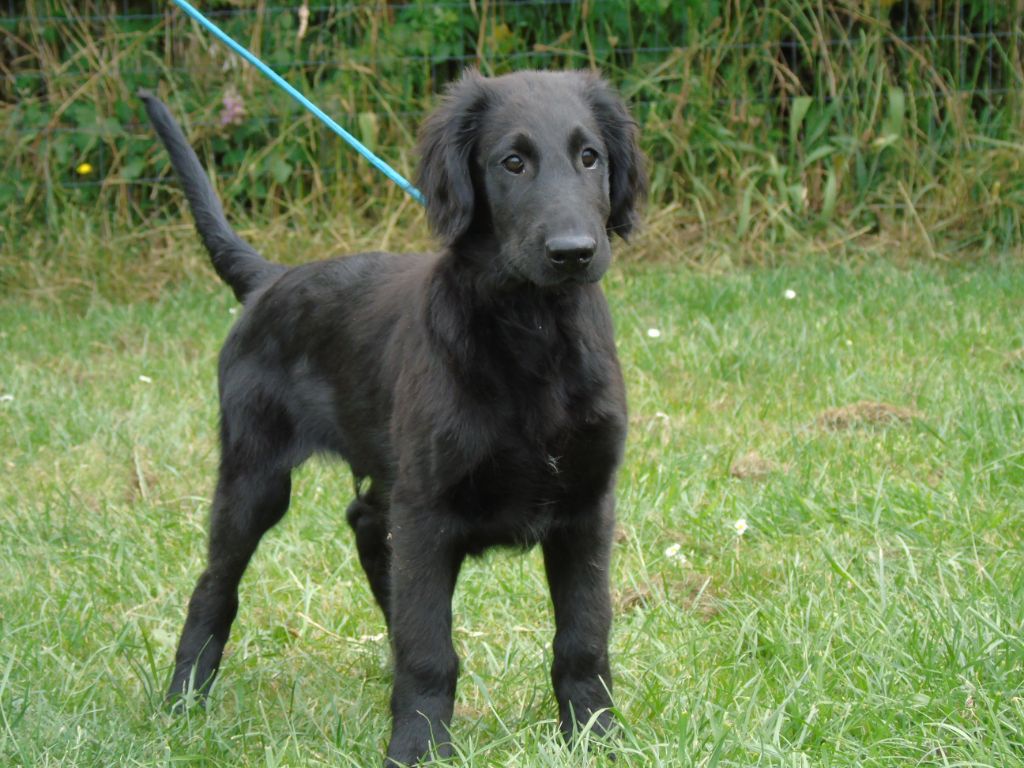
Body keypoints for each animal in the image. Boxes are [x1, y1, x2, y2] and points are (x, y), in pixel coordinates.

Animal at [141, 69, 646, 766]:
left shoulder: (586, 507)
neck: (533, 331)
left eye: (590, 157)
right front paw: (420, 747)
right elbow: (430, 648)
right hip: (255, 476)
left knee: (366, 529)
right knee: (215, 585)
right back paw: (183, 700)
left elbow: (583, 637)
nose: (572, 252)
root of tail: (271, 280)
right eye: (512, 163)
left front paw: (597, 738)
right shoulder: (428, 512)